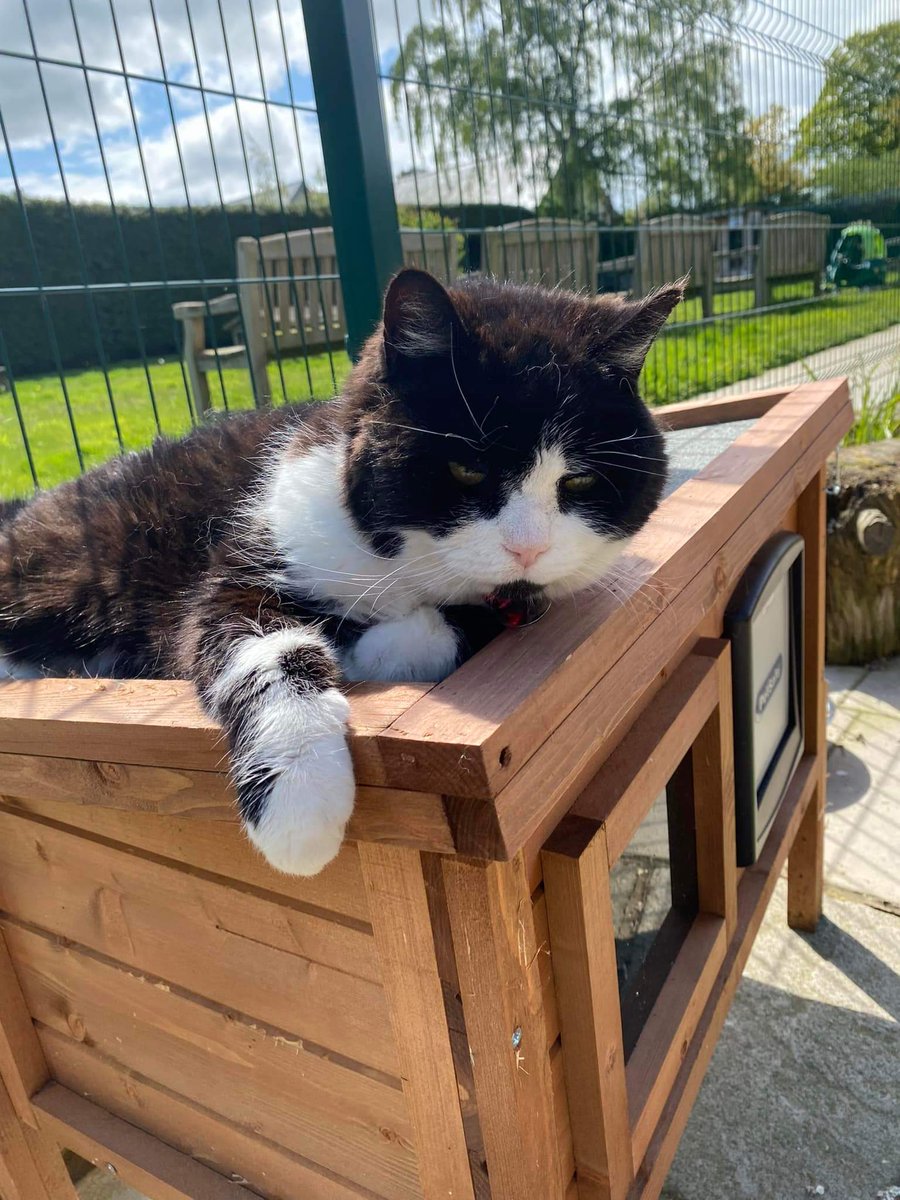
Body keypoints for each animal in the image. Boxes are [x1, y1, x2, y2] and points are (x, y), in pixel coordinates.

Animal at [0, 270, 681, 873]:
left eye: (580, 481)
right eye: (466, 470)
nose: (528, 549)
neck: (393, 561)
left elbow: (457, 622)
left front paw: (369, 644)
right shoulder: (240, 565)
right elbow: (259, 644)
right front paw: (298, 797)